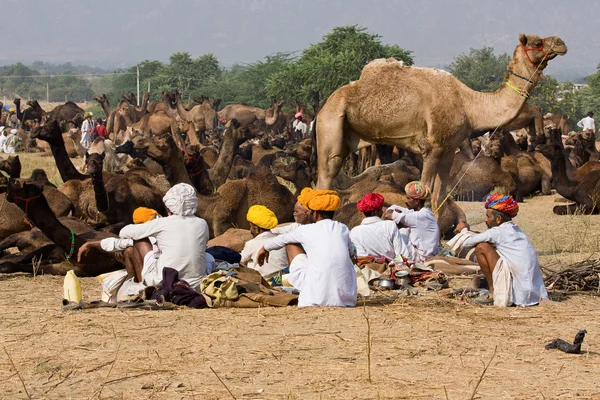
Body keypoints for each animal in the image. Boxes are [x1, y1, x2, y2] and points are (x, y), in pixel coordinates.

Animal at [314, 33, 568, 219]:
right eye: (537, 42)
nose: (561, 42)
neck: (469, 104)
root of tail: (323, 106)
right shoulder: (432, 148)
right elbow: (422, 192)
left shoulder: (447, 150)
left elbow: (438, 197)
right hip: (331, 125)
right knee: (325, 176)